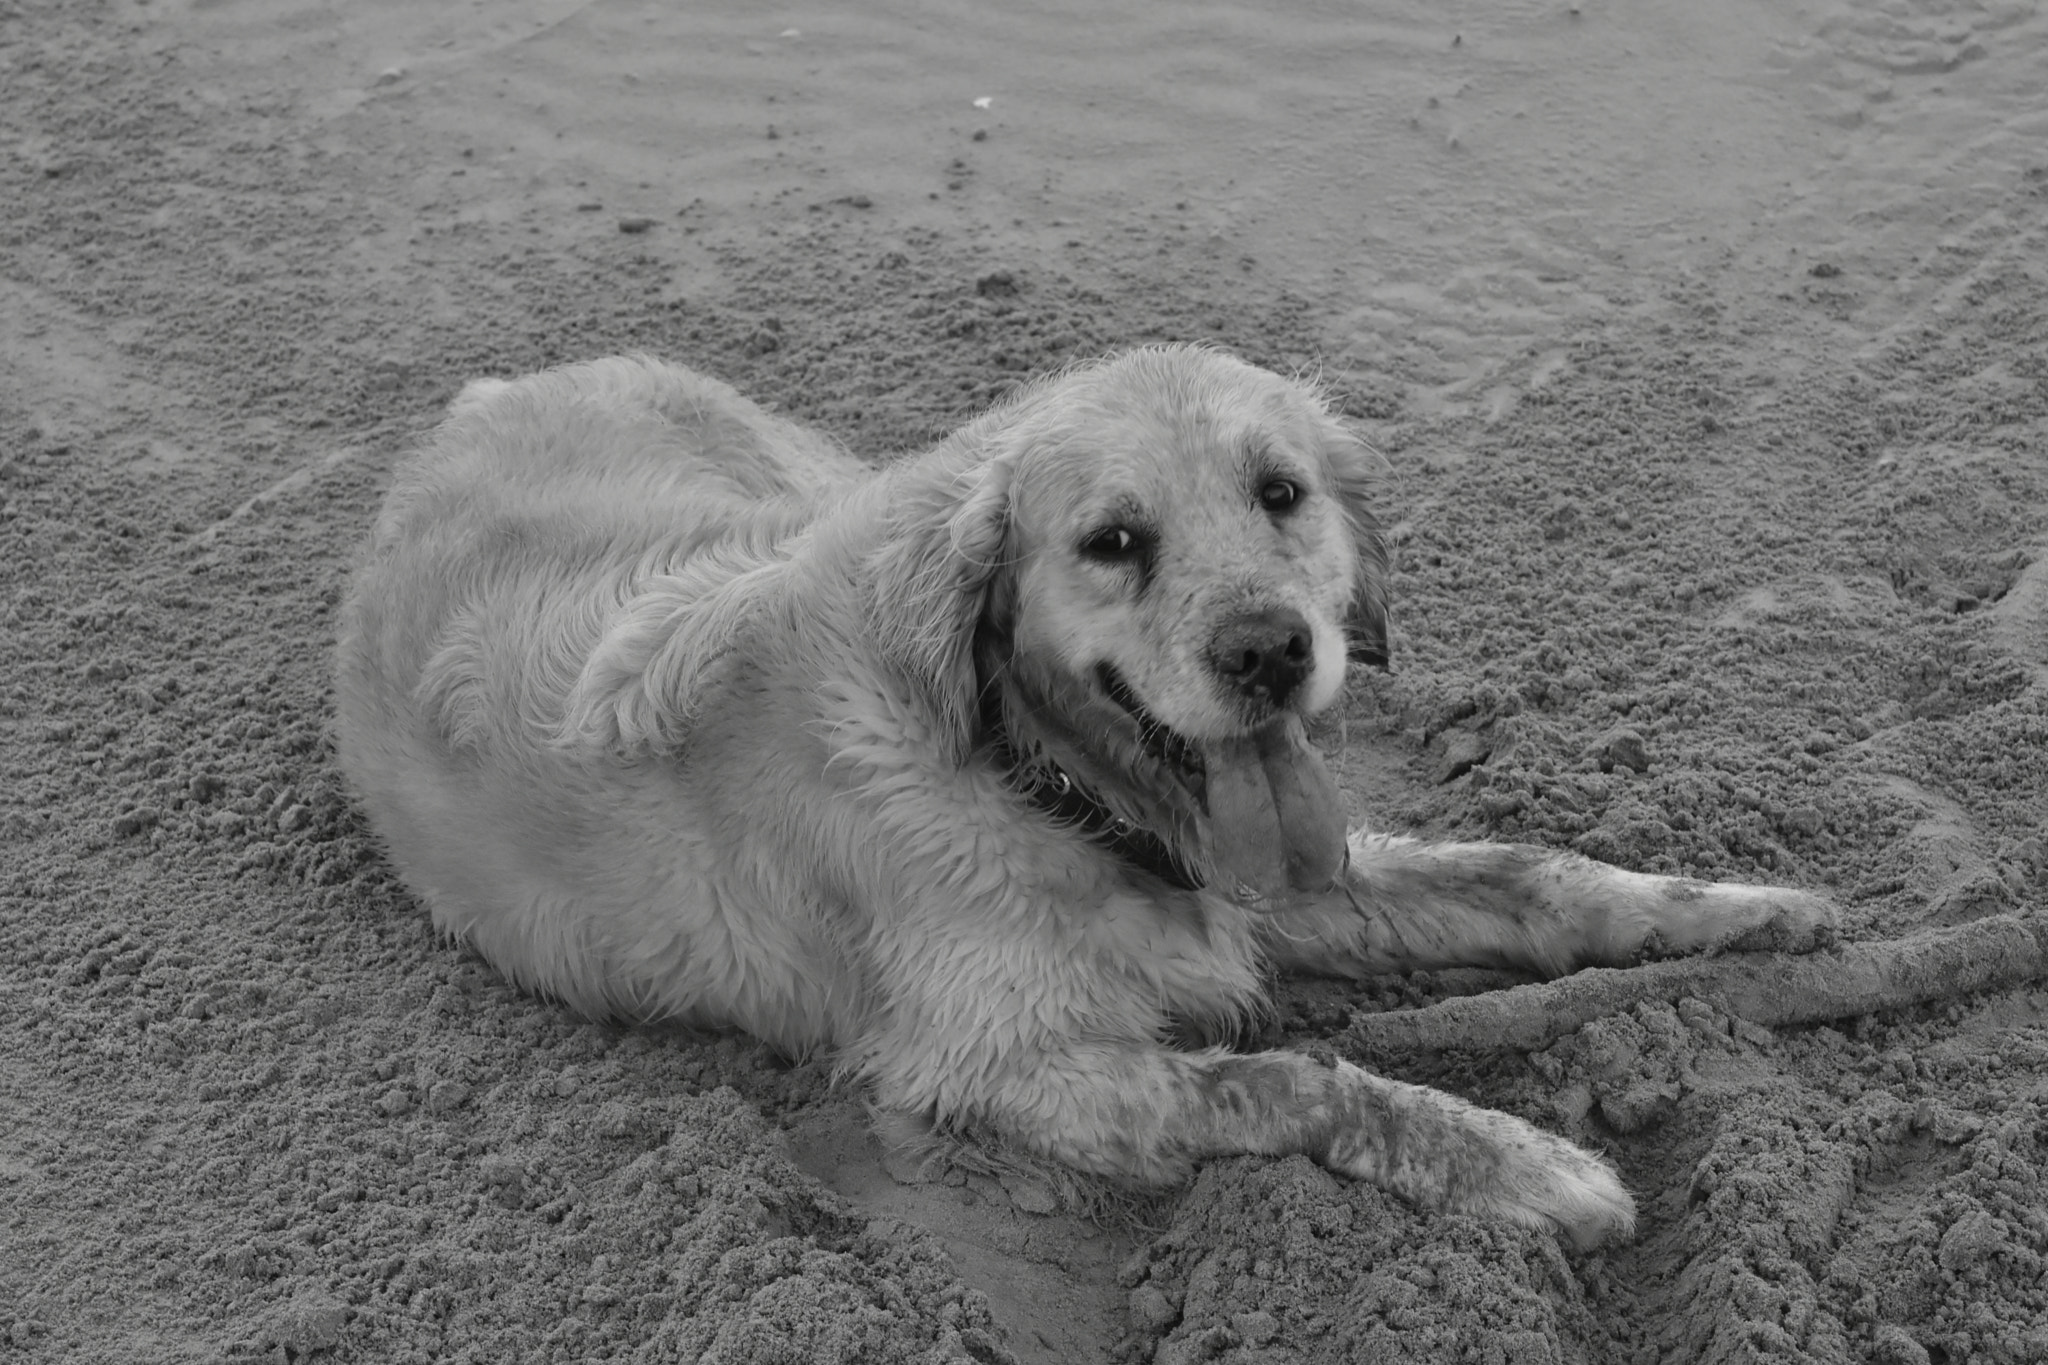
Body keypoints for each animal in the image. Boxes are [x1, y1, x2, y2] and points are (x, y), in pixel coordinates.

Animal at [335, 343, 1843, 1252]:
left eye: (1281, 492)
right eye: (1114, 541)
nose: (1269, 651)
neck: (1034, 778)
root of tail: (492, 388)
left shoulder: (1260, 890)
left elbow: (1529, 875)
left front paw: (1746, 909)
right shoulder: (993, 1067)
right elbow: (1297, 1076)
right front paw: (1532, 1167)